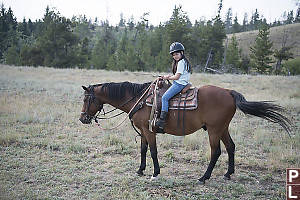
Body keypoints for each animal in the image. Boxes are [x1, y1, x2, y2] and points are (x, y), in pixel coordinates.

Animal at [79, 80, 290, 184]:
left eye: (86, 99)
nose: (82, 119)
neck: (139, 99)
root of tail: (229, 92)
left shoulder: (149, 131)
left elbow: (153, 151)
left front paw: (155, 173)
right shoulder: (143, 132)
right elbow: (143, 150)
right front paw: (140, 170)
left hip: (214, 130)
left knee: (216, 152)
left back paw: (204, 178)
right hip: (223, 128)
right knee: (231, 147)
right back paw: (228, 174)